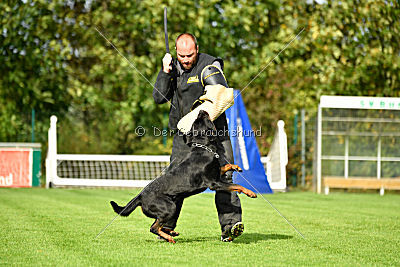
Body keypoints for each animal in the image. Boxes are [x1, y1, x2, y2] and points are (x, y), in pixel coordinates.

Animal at [109, 110, 256, 244]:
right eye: (200, 120)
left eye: (196, 121)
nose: (201, 110)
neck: (203, 148)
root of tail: (140, 196)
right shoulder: (214, 183)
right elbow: (237, 185)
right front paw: (251, 193)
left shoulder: (217, 175)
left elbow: (225, 166)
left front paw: (236, 167)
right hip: (169, 207)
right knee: (153, 227)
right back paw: (169, 237)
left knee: (158, 225)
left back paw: (170, 233)